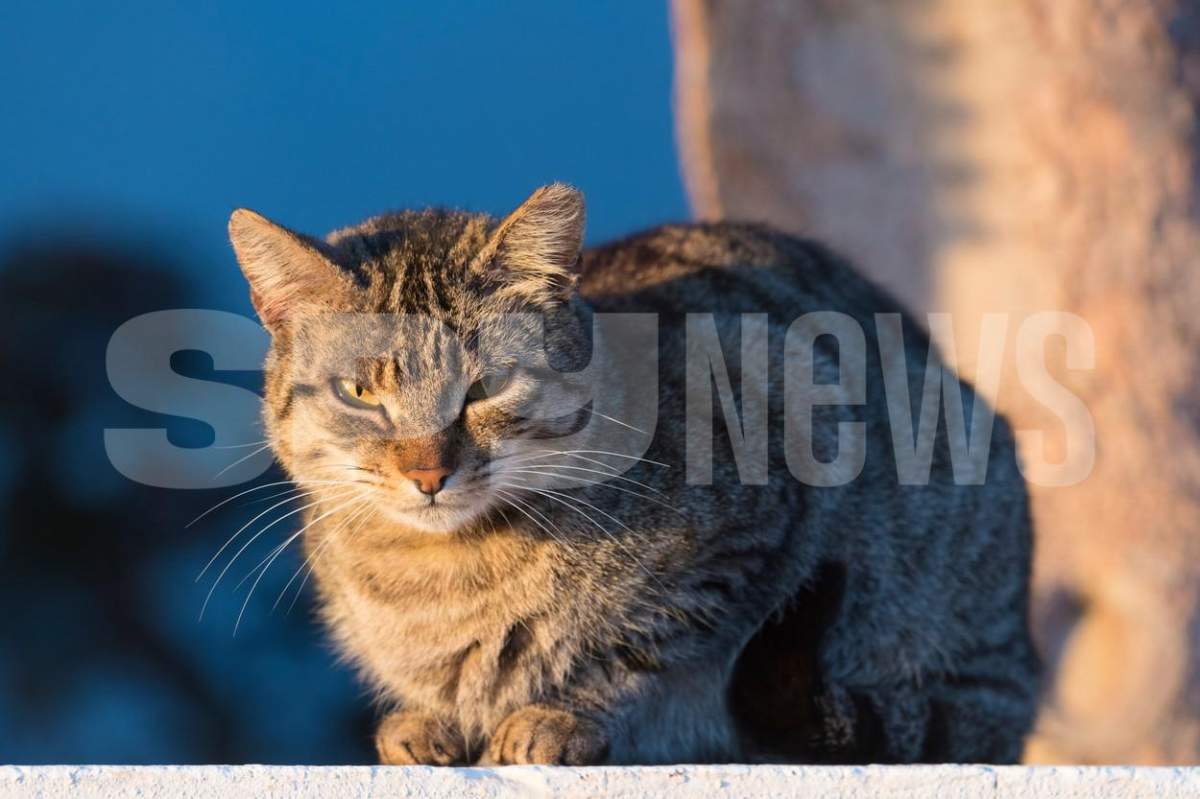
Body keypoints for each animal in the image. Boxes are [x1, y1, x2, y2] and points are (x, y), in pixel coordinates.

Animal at [226, 183, 1041, 763]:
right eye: (360, 392)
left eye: (486, 386)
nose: (429, 473)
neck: (438, 571)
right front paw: (429, 720)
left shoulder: (761, 507)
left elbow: (635, 646)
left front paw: (559, 714)